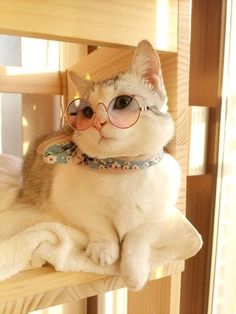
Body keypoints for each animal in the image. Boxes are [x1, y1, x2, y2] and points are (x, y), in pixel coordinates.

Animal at [18, 40, 181, 290]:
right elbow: (98, 223)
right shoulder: (69, 201)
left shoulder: (161, 214)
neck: (121, 168)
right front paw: (104, 248)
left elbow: (138, 238)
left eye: (123, 102)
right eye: (87, 111)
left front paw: (134, 270)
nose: (97, 123)